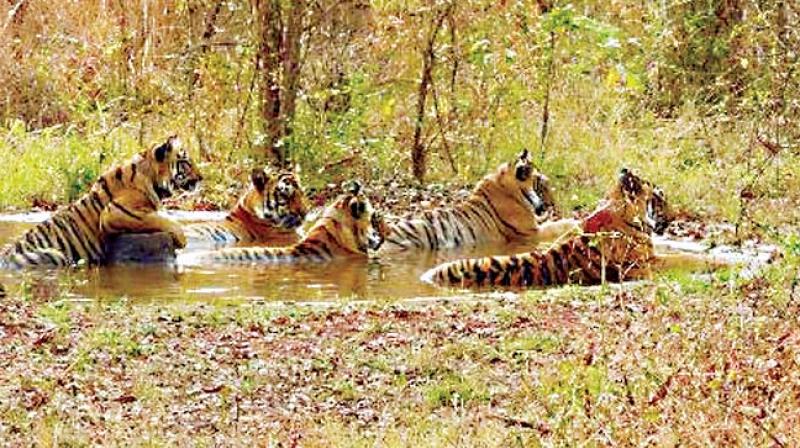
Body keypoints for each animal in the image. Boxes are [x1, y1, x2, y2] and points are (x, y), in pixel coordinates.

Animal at [0, 136, 200, 270]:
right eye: (185, 161)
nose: (201, 178)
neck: (152, 178)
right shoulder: (115, 212)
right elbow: (160, 219)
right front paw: (181, 240)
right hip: (55, 254)